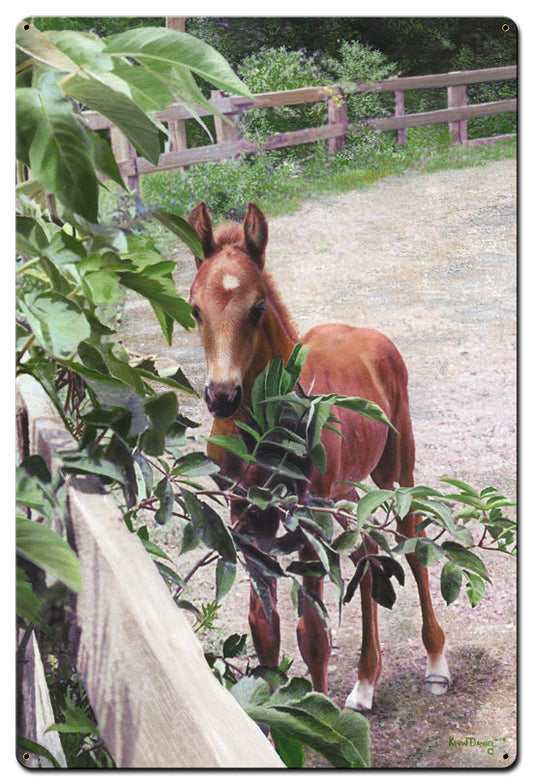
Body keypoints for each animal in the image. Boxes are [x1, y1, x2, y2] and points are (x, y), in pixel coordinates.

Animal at [187, 201, 450, 711]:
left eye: (258, 308)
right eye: (194, 309)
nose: (222, 397)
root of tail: (372, 336)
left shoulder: (304, 515)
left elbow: (312, 633)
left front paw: (321, 716)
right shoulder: (246, 514)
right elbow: (264, 626)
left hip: (394, 472)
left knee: (412, 541)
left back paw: (435, 664)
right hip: (345, 494)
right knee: (367, 551)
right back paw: (365, 684)